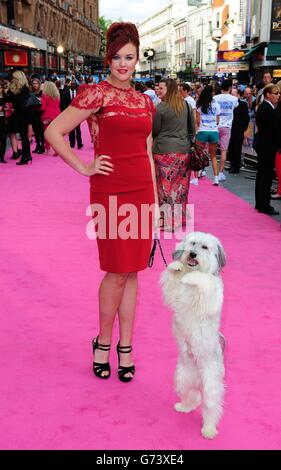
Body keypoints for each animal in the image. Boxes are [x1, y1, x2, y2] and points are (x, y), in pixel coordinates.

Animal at [160, 233, 225, 438]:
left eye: (204, 247)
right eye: (192, 243)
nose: (192, 254)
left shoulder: (210, 294)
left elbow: (203, 279)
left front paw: (193, 277)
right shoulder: (175, 292)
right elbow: (173, 280)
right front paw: (176, 266)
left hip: (211, 384)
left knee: (211, 407)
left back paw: (209, 430)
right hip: (182, 378)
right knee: (193, 396)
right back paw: (184, 407)